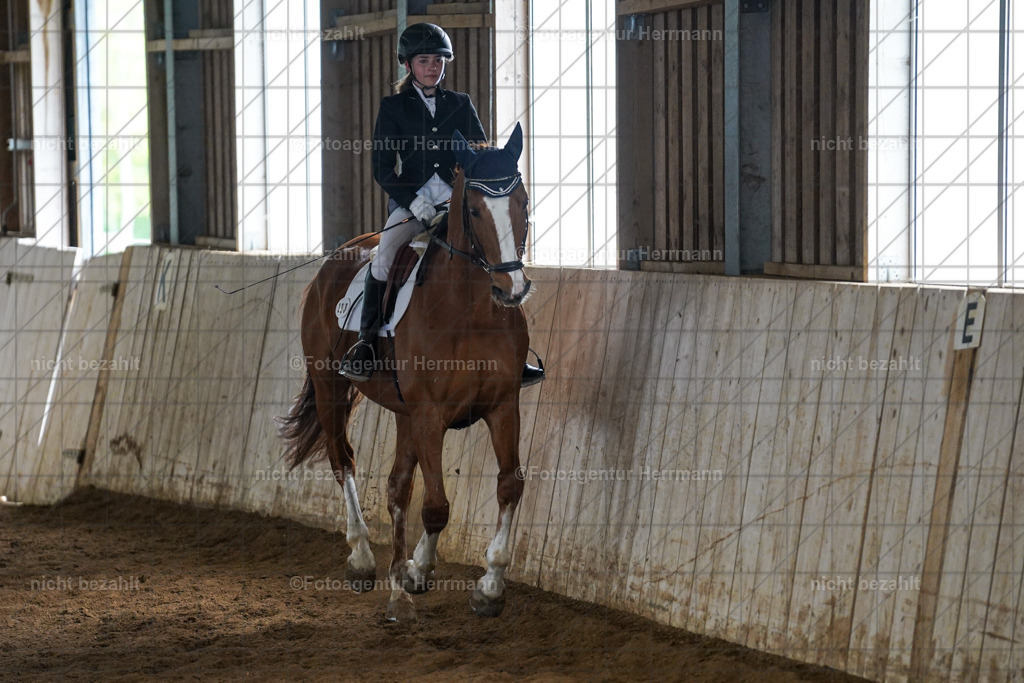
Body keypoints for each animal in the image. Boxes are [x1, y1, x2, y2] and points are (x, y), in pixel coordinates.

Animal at [279, 124, 532, 622]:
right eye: (475, 209)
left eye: (522, 202)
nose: (510, 289)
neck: (472, 313)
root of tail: (342, 252)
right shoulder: (431, 415)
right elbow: (435, 505)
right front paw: (419, 574)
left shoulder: (501, 406)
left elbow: (509, 485)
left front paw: (488, 585)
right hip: (330, 385)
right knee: (343, 460)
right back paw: (362, 560)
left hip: (402, 412)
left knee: (397, 485)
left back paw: (399, 574)